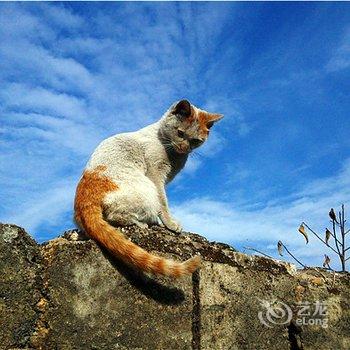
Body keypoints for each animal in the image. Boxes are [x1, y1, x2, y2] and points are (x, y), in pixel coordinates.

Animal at [74, 100, 223, 278]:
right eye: (180, 133)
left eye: (195, 141)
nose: (184, 147)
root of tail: (83, 199)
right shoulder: (156, 176)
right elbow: (163, 202)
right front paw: (170, 224)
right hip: (147, 190)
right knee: (113, 216)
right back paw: (142, 223)